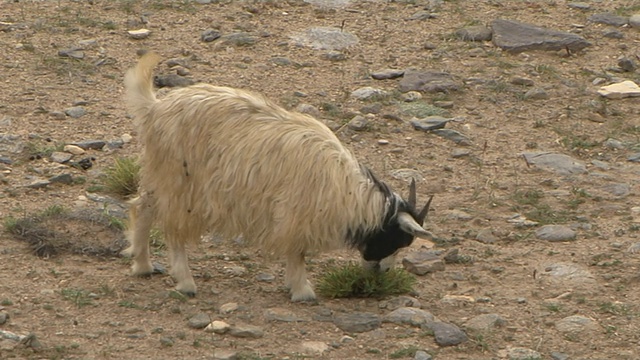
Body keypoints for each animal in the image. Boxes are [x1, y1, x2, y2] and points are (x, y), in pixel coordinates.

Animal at [122, 52, 436, 300]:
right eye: (399, 239)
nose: (382, 271)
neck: (345, 190)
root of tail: (155, 108)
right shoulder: (295, 213)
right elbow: (297, 252)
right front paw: (302, 291)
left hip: (162, 175)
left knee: (142, 206)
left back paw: (142, 265)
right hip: (182, 182)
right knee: (172, 228)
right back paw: (185, 282)